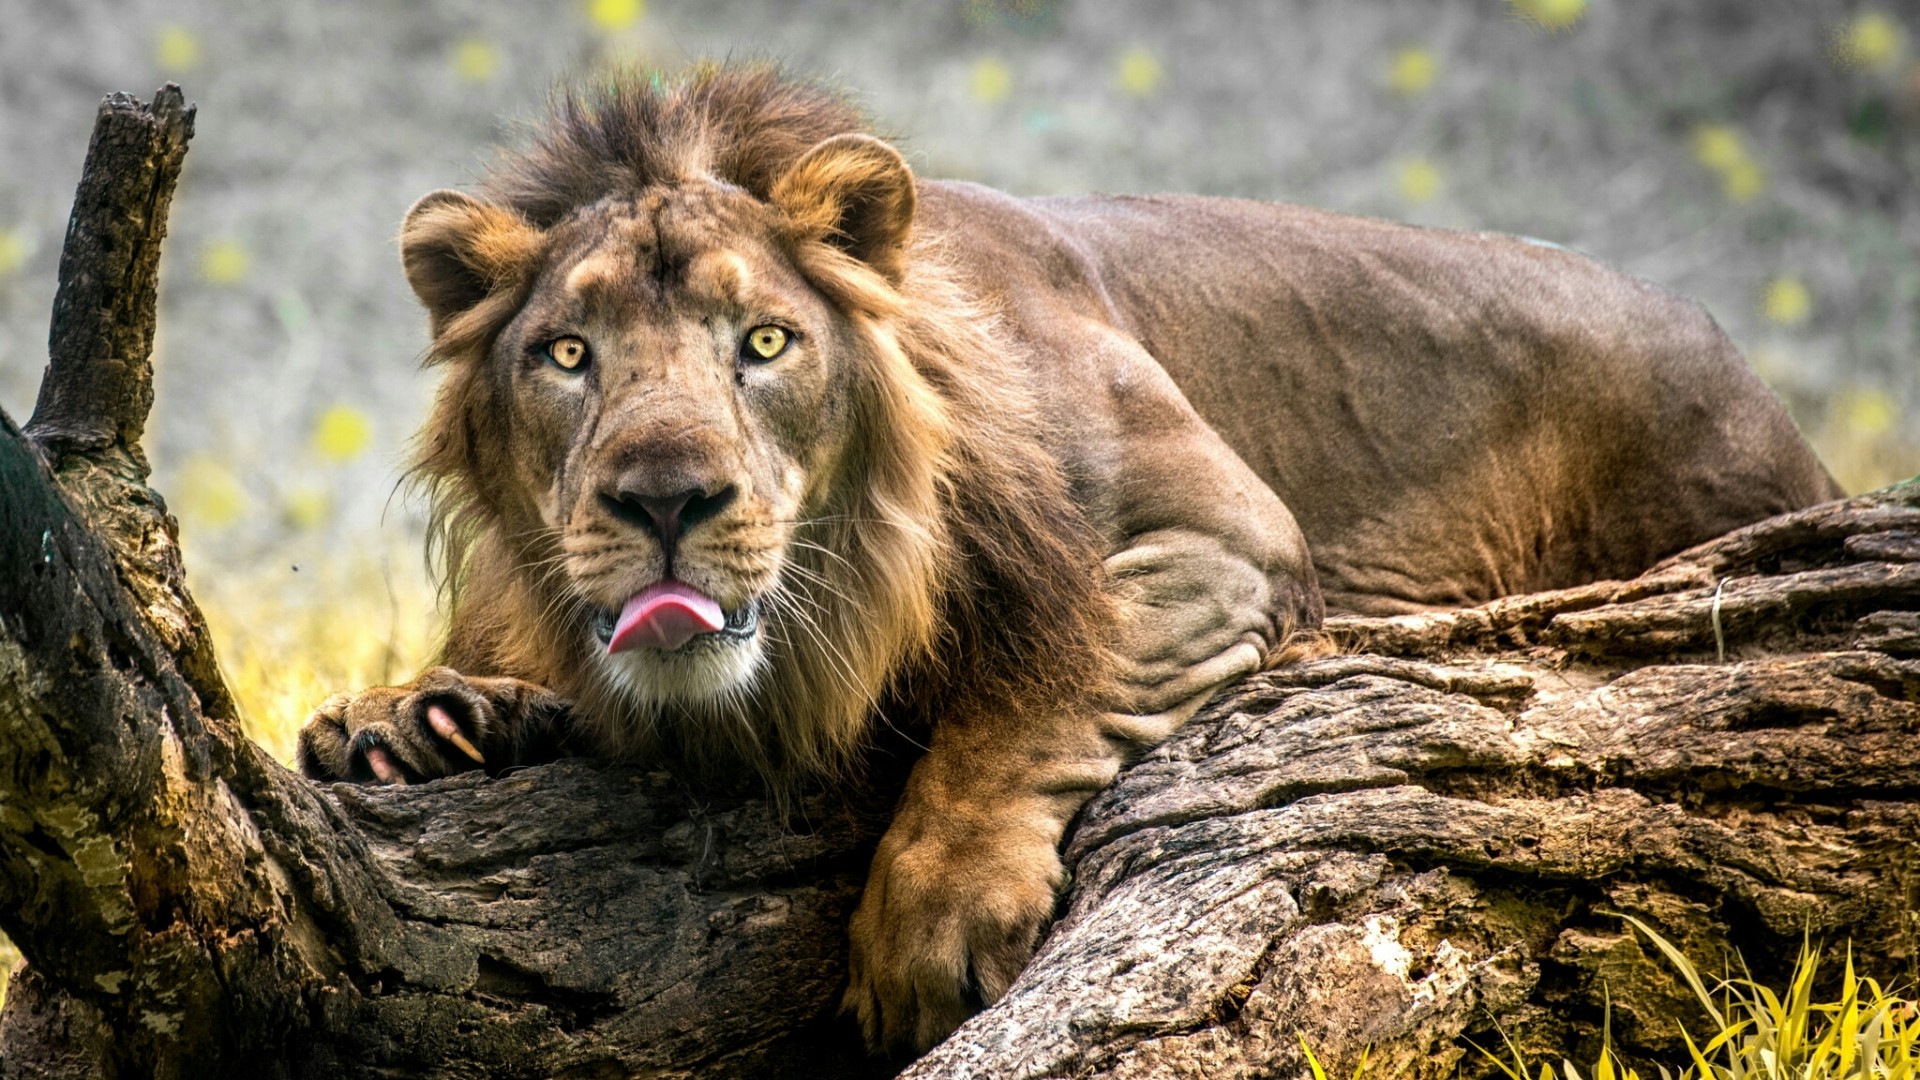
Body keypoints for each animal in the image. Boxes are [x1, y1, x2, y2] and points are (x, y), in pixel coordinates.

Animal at [297, 65, 1842, 1054]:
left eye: (766, 342)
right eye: (568, 356)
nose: (664, 497)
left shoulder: (1224, 539)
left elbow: (1030, 699)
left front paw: (929, 922)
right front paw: (415, 715)